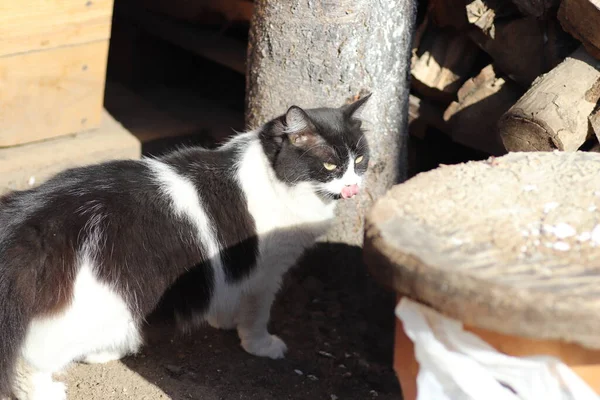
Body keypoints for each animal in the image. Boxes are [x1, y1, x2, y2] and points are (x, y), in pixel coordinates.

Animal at [0, 94, 370, 400]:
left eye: (361, 159)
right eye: (330, 166)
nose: (353, 184)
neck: (274, 177)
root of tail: (33, 217)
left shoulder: (235, 267)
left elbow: (228, 292)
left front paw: (224, 321)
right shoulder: (266, 274)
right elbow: (257, 316)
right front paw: (260, 345)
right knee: (28, 359)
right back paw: (47, 390)